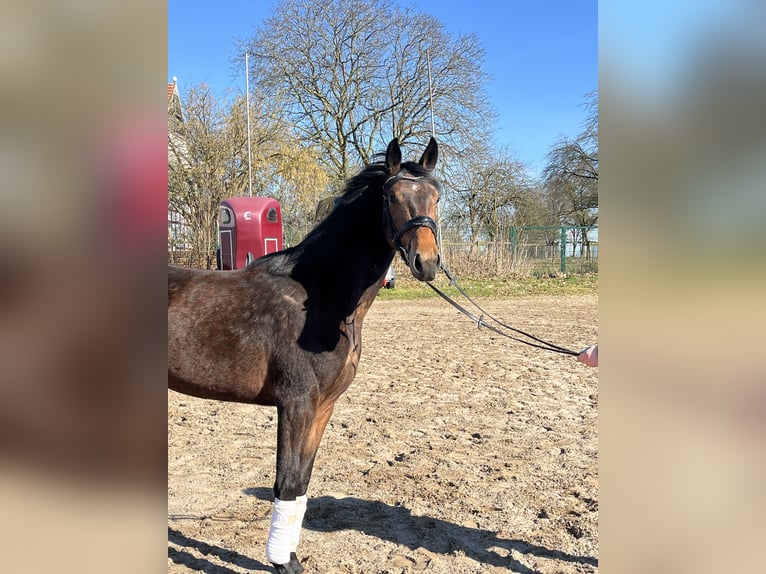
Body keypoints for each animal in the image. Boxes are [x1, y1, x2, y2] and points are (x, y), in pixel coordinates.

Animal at [168, 137, 444, 572]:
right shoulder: (295, 402)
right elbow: (286, 481)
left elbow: (302, 482)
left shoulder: (323, 405)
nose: (427, 262)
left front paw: (291, 556)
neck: (320, 297)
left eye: (436, 196)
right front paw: (282, 562)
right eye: (392, 197)